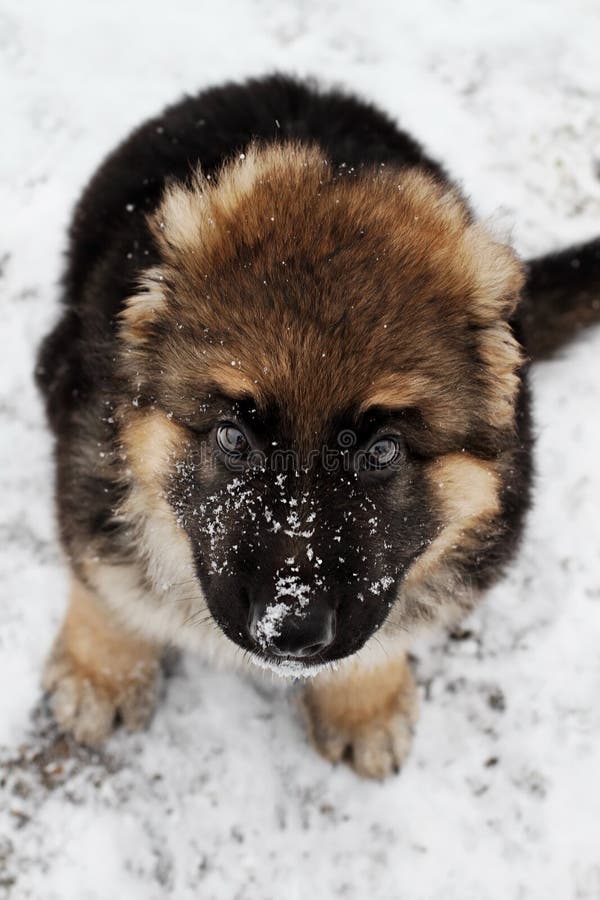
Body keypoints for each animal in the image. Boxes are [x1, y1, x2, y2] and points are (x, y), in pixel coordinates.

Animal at [36, 74, 600, 776]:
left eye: (382, 451)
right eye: (233, 437)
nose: (290, 632)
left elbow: (380, 639)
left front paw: (363, 704)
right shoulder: (85, 466)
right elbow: (103, 581)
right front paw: (102, 674)